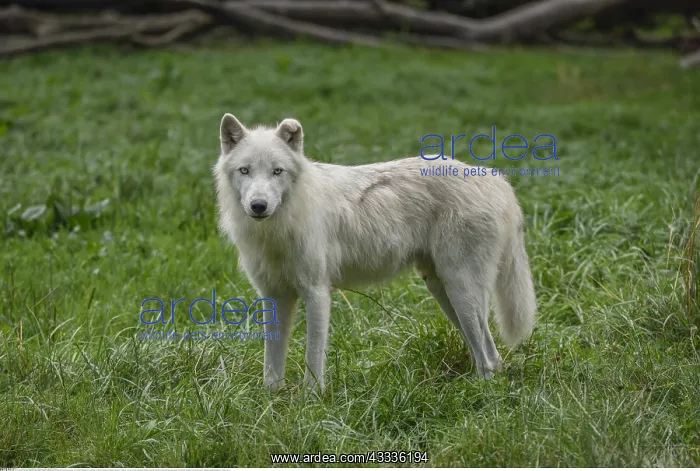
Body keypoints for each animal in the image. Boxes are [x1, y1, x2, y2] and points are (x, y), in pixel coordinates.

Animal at [213, 114, 537, 393]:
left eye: (277, 171)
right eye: (245, 170)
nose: (258, 206)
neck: (277, 229)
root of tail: (497, 180)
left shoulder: (317, 293)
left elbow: (313, 360)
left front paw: (311, 402)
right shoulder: (274, 296)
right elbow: (272, 363)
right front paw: (272, 400)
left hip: (461, 292)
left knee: (487, 355)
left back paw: (479, 396)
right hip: (443, 291)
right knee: (492, 355)